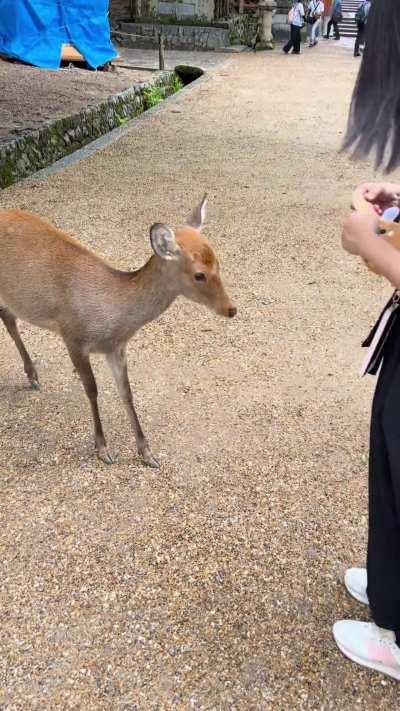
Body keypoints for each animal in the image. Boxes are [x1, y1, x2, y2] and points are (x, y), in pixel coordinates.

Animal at [0, 196, 236, 468]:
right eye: (199, 274)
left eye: (218, 262)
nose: (231, 309)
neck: (111, 318)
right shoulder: (73, 336)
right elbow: (92, 390)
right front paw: (103, 448)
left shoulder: (116, 348)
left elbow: (127, 393)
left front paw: (146, 453)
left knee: (8, 317)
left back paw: (32, 375)